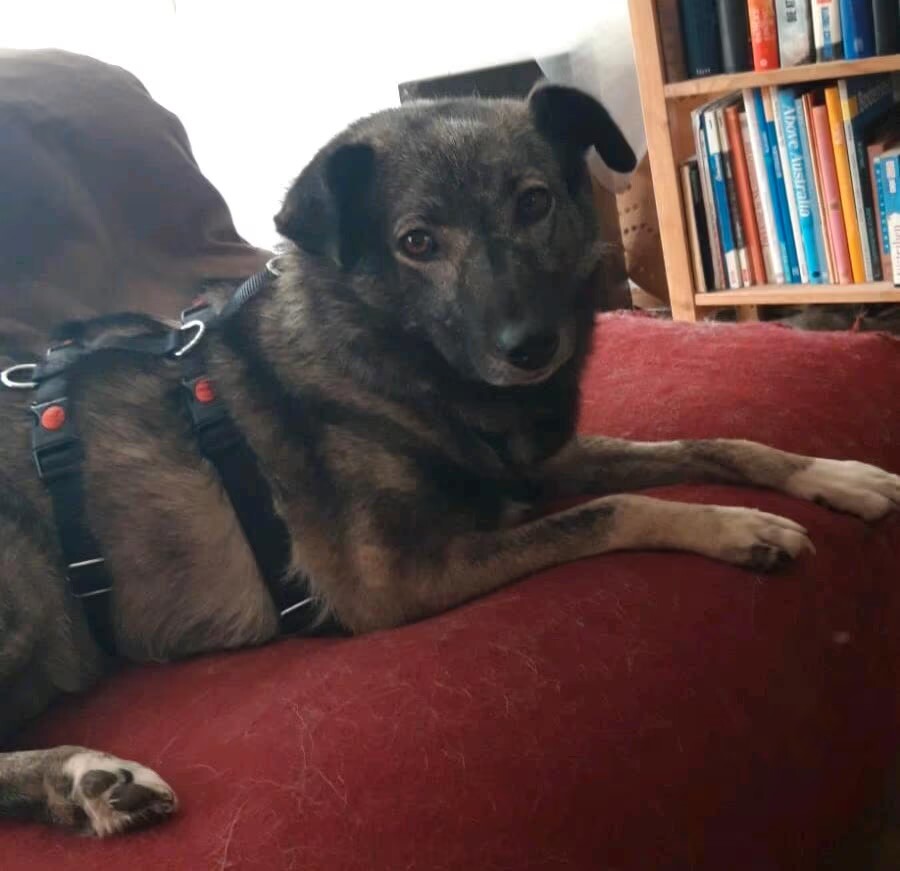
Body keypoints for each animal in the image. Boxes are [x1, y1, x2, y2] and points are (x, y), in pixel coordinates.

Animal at [1, 84, 898, 837]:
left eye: (534, 202)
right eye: (417, 242)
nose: (529, 346)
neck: (397, 360)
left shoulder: (540, 466)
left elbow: (717, 443)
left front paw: (833, 476)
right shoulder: (394, 579)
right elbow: (618, 509)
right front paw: (740, 527)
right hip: (26, 581)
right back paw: (86, 775)